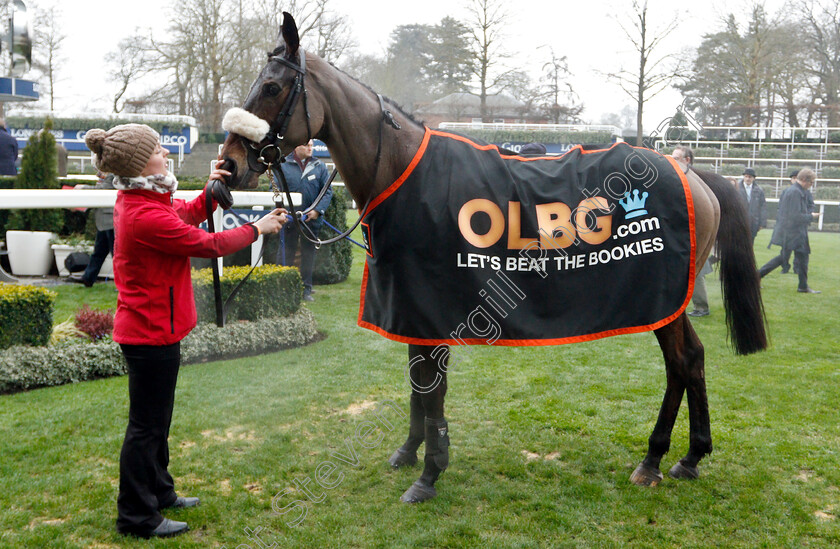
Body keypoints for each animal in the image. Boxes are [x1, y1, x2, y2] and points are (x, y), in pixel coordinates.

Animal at [218, 12, 768, 504]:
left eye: (271, 87)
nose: (227, 170)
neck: (404, 173)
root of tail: (692, 172)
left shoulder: (434, 303)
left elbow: (431, 387)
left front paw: (429, 474)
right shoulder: (411, 306)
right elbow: (417, 382)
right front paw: (410, 452)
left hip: (662, 300)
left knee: (681, 361)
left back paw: (653, 459)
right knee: (691, 359)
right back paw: (689, 456)